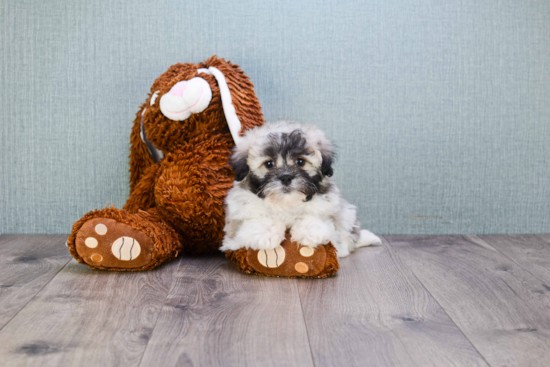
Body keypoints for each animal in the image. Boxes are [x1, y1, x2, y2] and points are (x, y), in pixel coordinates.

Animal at [219, 121, 380, 258]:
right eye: (269, 164)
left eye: (300, 161)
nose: (286, 177)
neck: (286, 203)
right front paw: (266, 232)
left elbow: (317, 219)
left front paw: (308, 231)